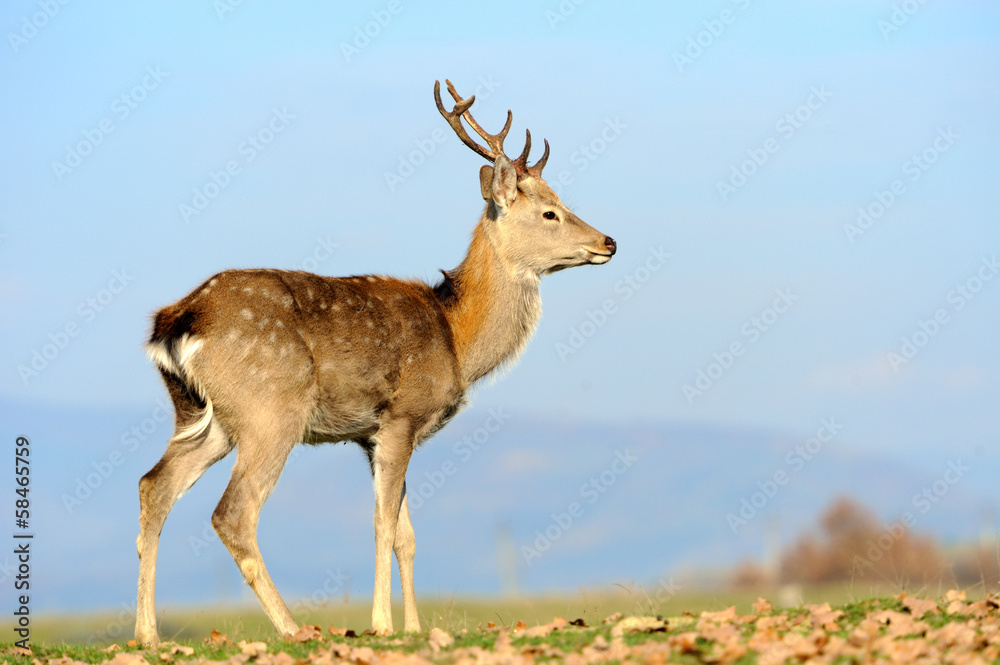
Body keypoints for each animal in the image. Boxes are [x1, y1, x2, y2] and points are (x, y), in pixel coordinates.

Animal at [134, 79, 616, 644]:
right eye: (550, 212)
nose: (608, 241)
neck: (458, 339)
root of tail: (176, 320)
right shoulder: (402, 416)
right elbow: (383, 524)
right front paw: (383, 624)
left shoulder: (371, 435)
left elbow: (407, 533)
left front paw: (415, 627)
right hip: (269, 410)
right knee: (233, 513)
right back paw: (293, 628)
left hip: (201, 417)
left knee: (153, 487)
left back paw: (148, 635)